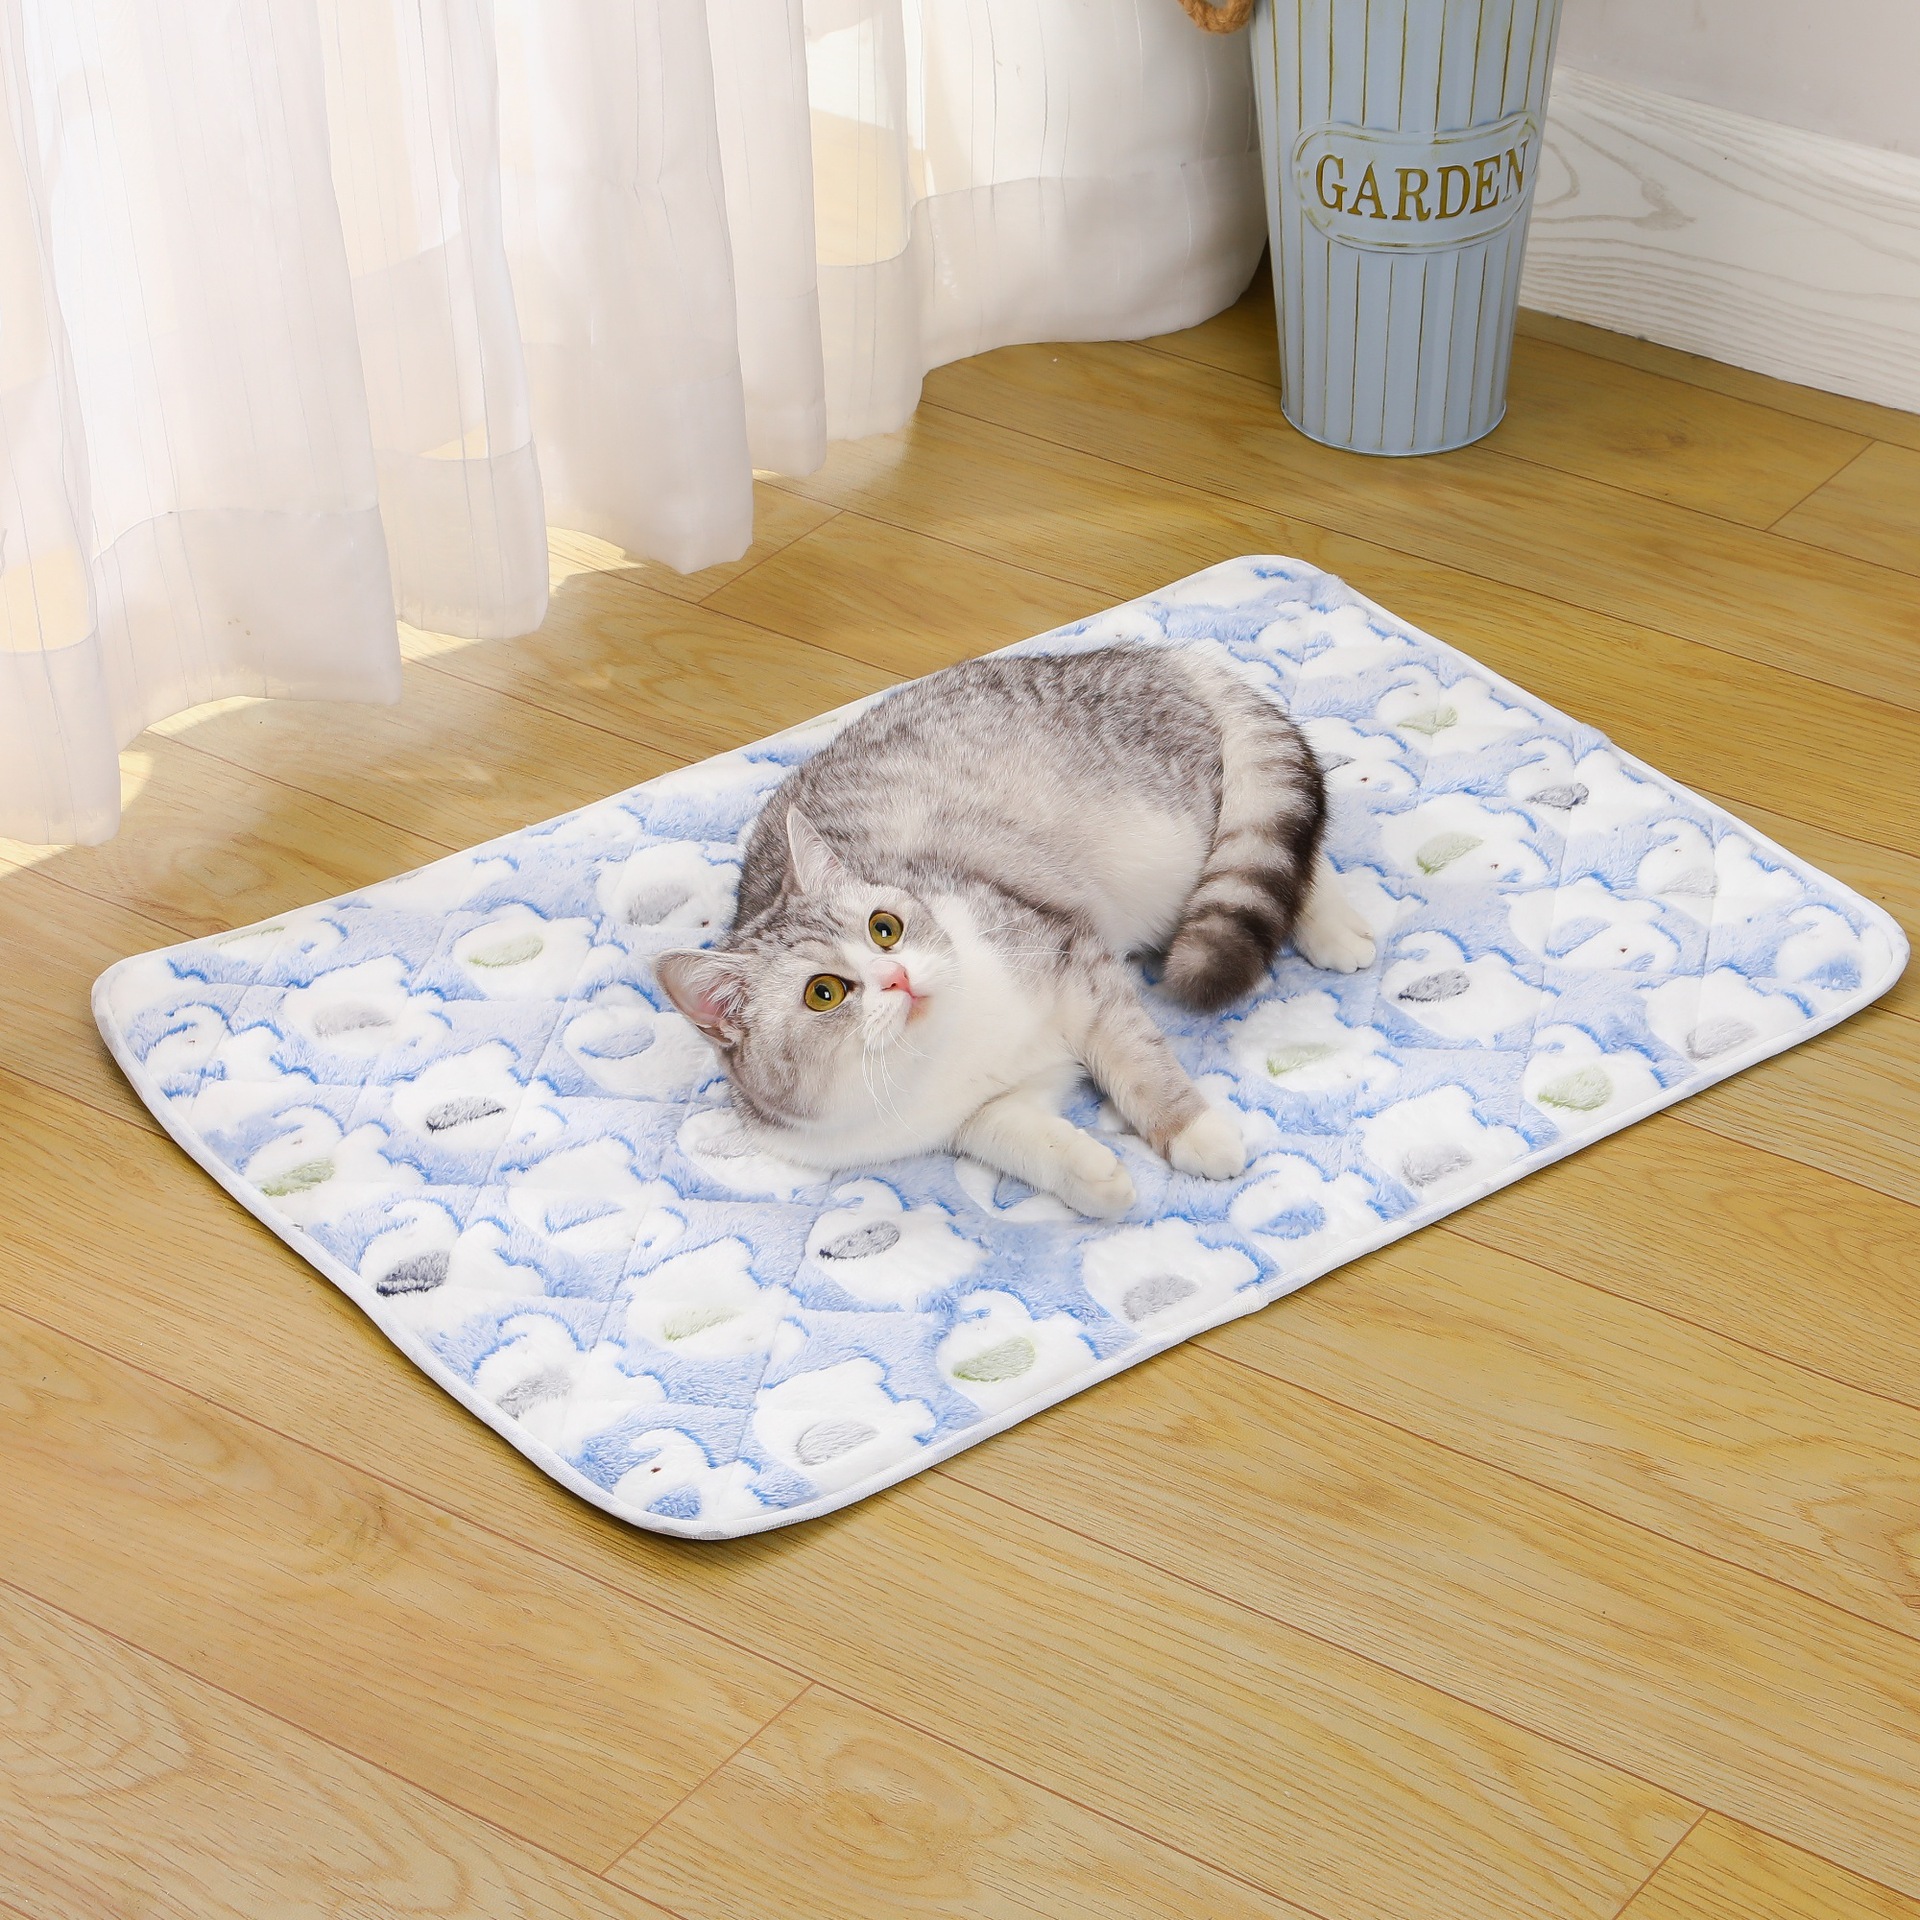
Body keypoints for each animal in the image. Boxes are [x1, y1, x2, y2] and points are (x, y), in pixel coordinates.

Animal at [654, 643, 1376, 1218]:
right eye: (823, 993)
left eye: (885, 928)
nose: (898, 976)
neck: (944, 1056)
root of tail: (1158, 654)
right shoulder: (967, 1120)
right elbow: (1022, 1140)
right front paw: (1093, 1176)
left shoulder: (1075, 963)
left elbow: (1142, 1066)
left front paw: (1193, 1131)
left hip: (1168, 851)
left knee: (1278, 842)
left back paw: (1338, 930)